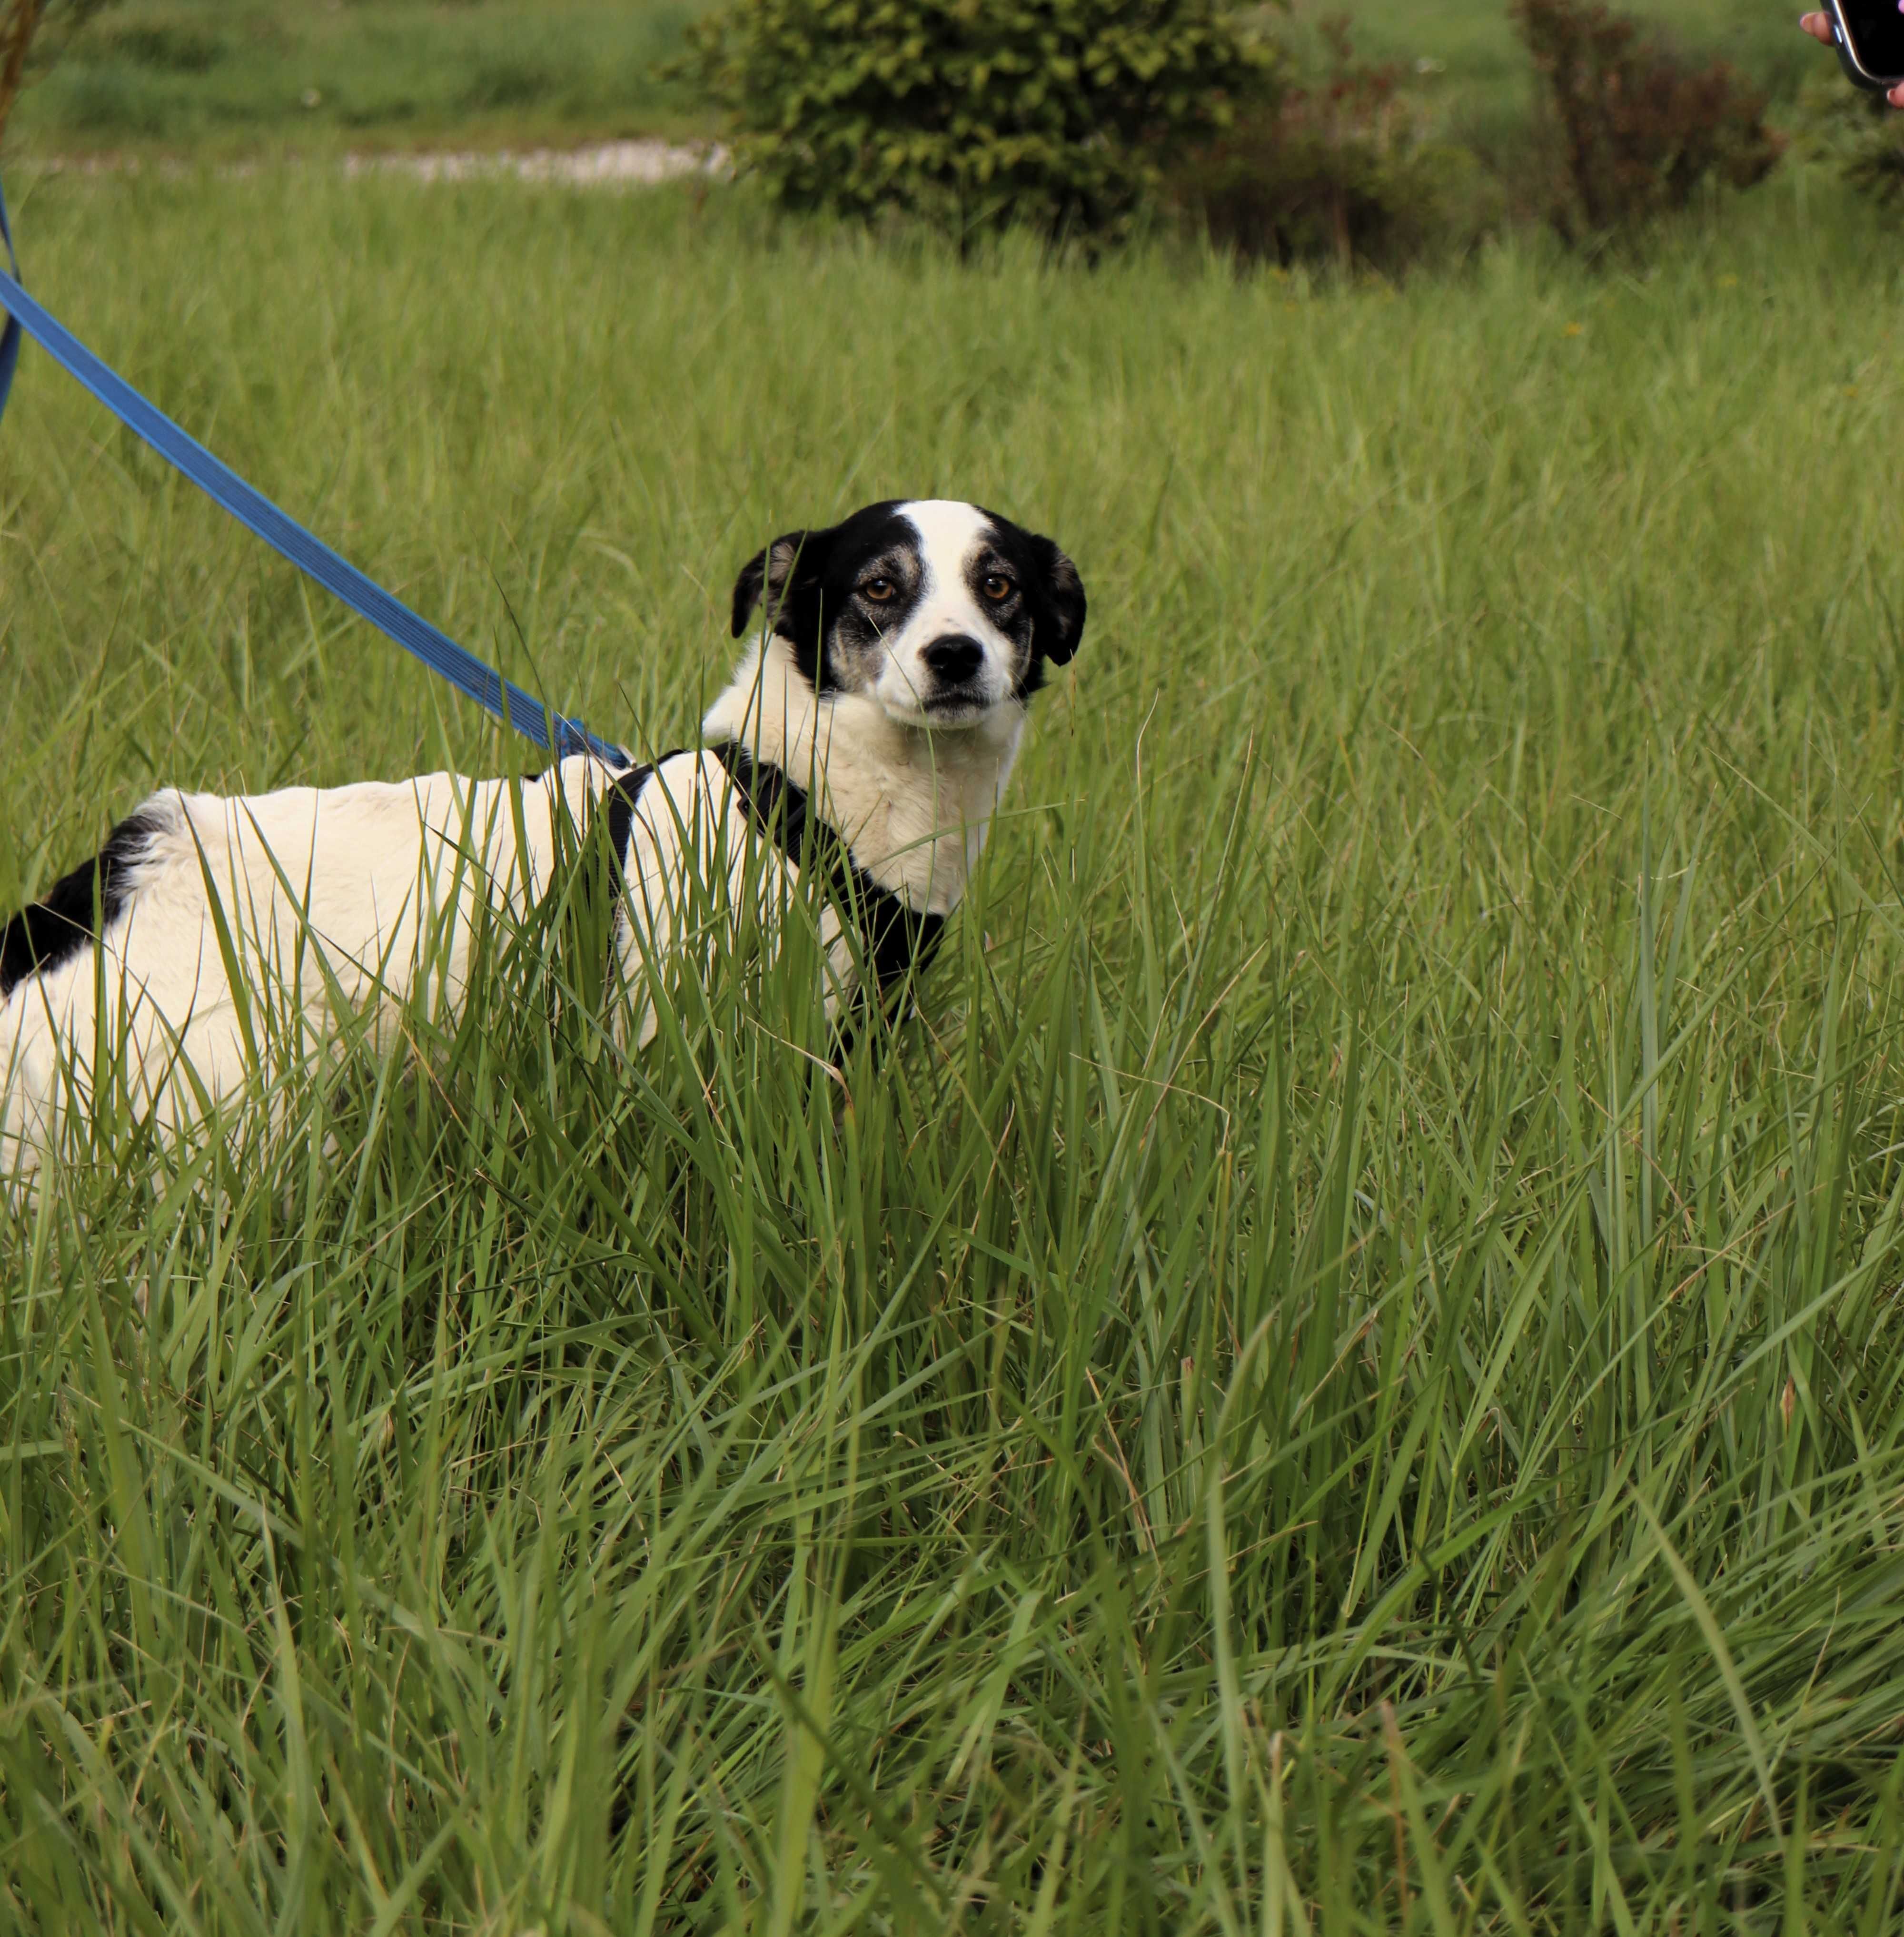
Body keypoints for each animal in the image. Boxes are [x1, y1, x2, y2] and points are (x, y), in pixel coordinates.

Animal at [0, 500, 1084, 1162]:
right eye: (879, 587)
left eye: (999, 587)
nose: (956, 656)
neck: (793, 804)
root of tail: (115, 872)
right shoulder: (665, 1052)